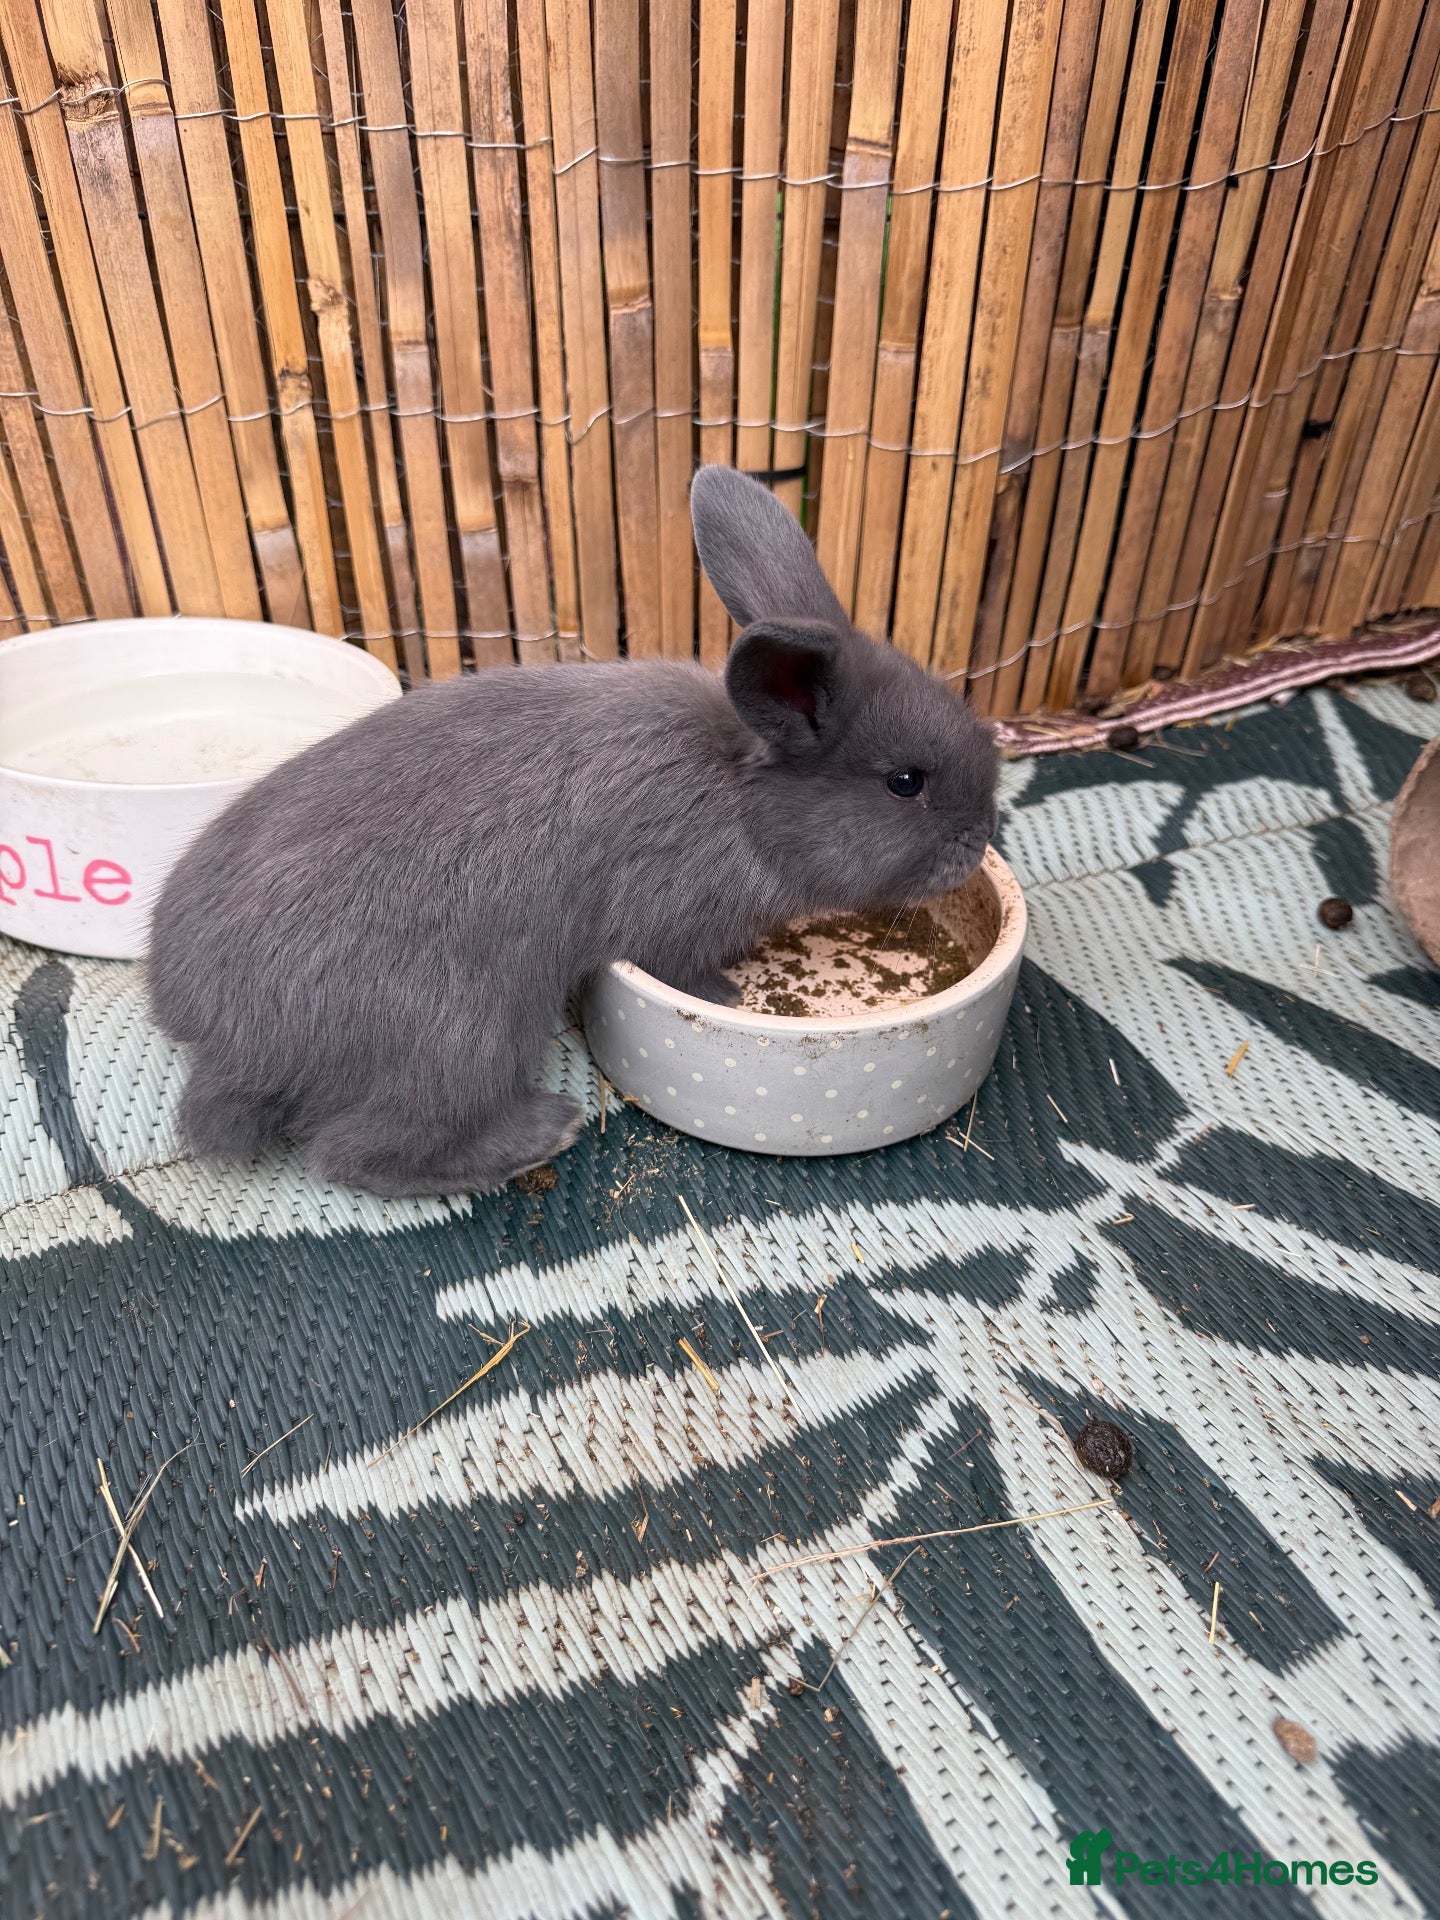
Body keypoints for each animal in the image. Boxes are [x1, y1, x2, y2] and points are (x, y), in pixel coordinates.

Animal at [147, 466, 998, 1197]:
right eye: (905, 782)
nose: (981, 832)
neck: (741, 797)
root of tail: (228, 1045)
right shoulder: (669, 921)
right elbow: (684, 966)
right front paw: (725, 989)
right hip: (467, 1035)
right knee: (358, 1151)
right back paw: (543, 1133)